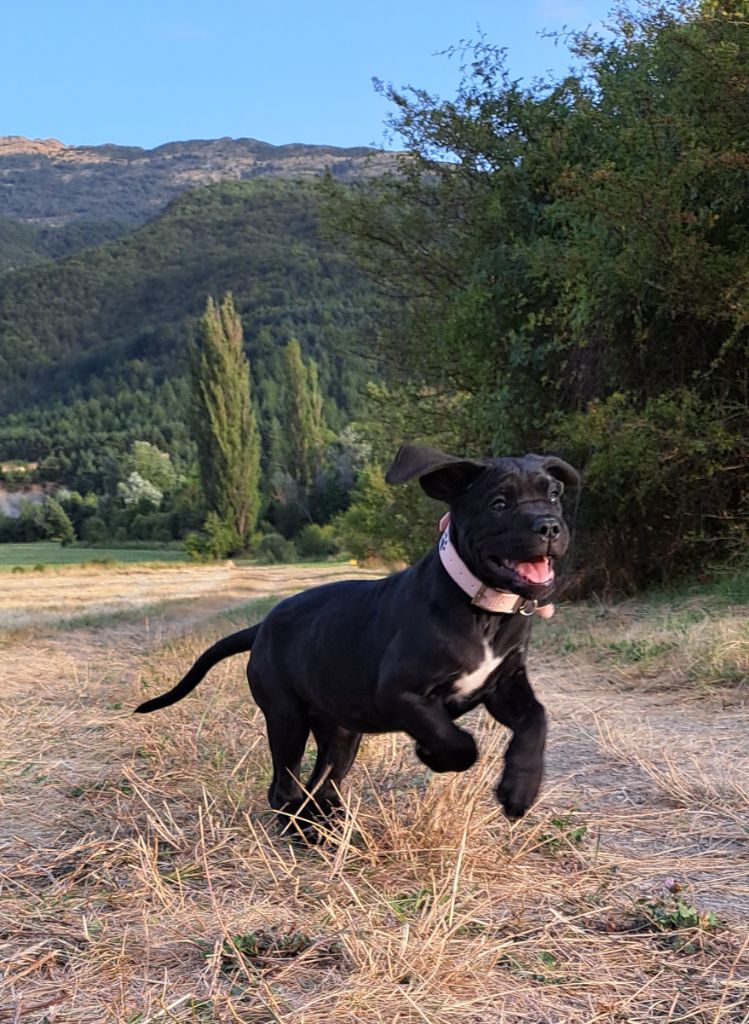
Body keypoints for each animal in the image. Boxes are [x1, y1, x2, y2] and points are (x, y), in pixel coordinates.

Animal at [135, 446, 581, 823]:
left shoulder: (503, 683)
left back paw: (328, 826)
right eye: (499, 504)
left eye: (554, 495)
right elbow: (456, 741)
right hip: (286, 717)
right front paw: (436, 757)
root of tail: (262, 626)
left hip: (340, 730)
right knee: (284, 788)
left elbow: (536, 719)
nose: (550, 526)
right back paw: (304, 834)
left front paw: (520, 789)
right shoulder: (398, 693)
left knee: (321, 785)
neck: (482, 609)